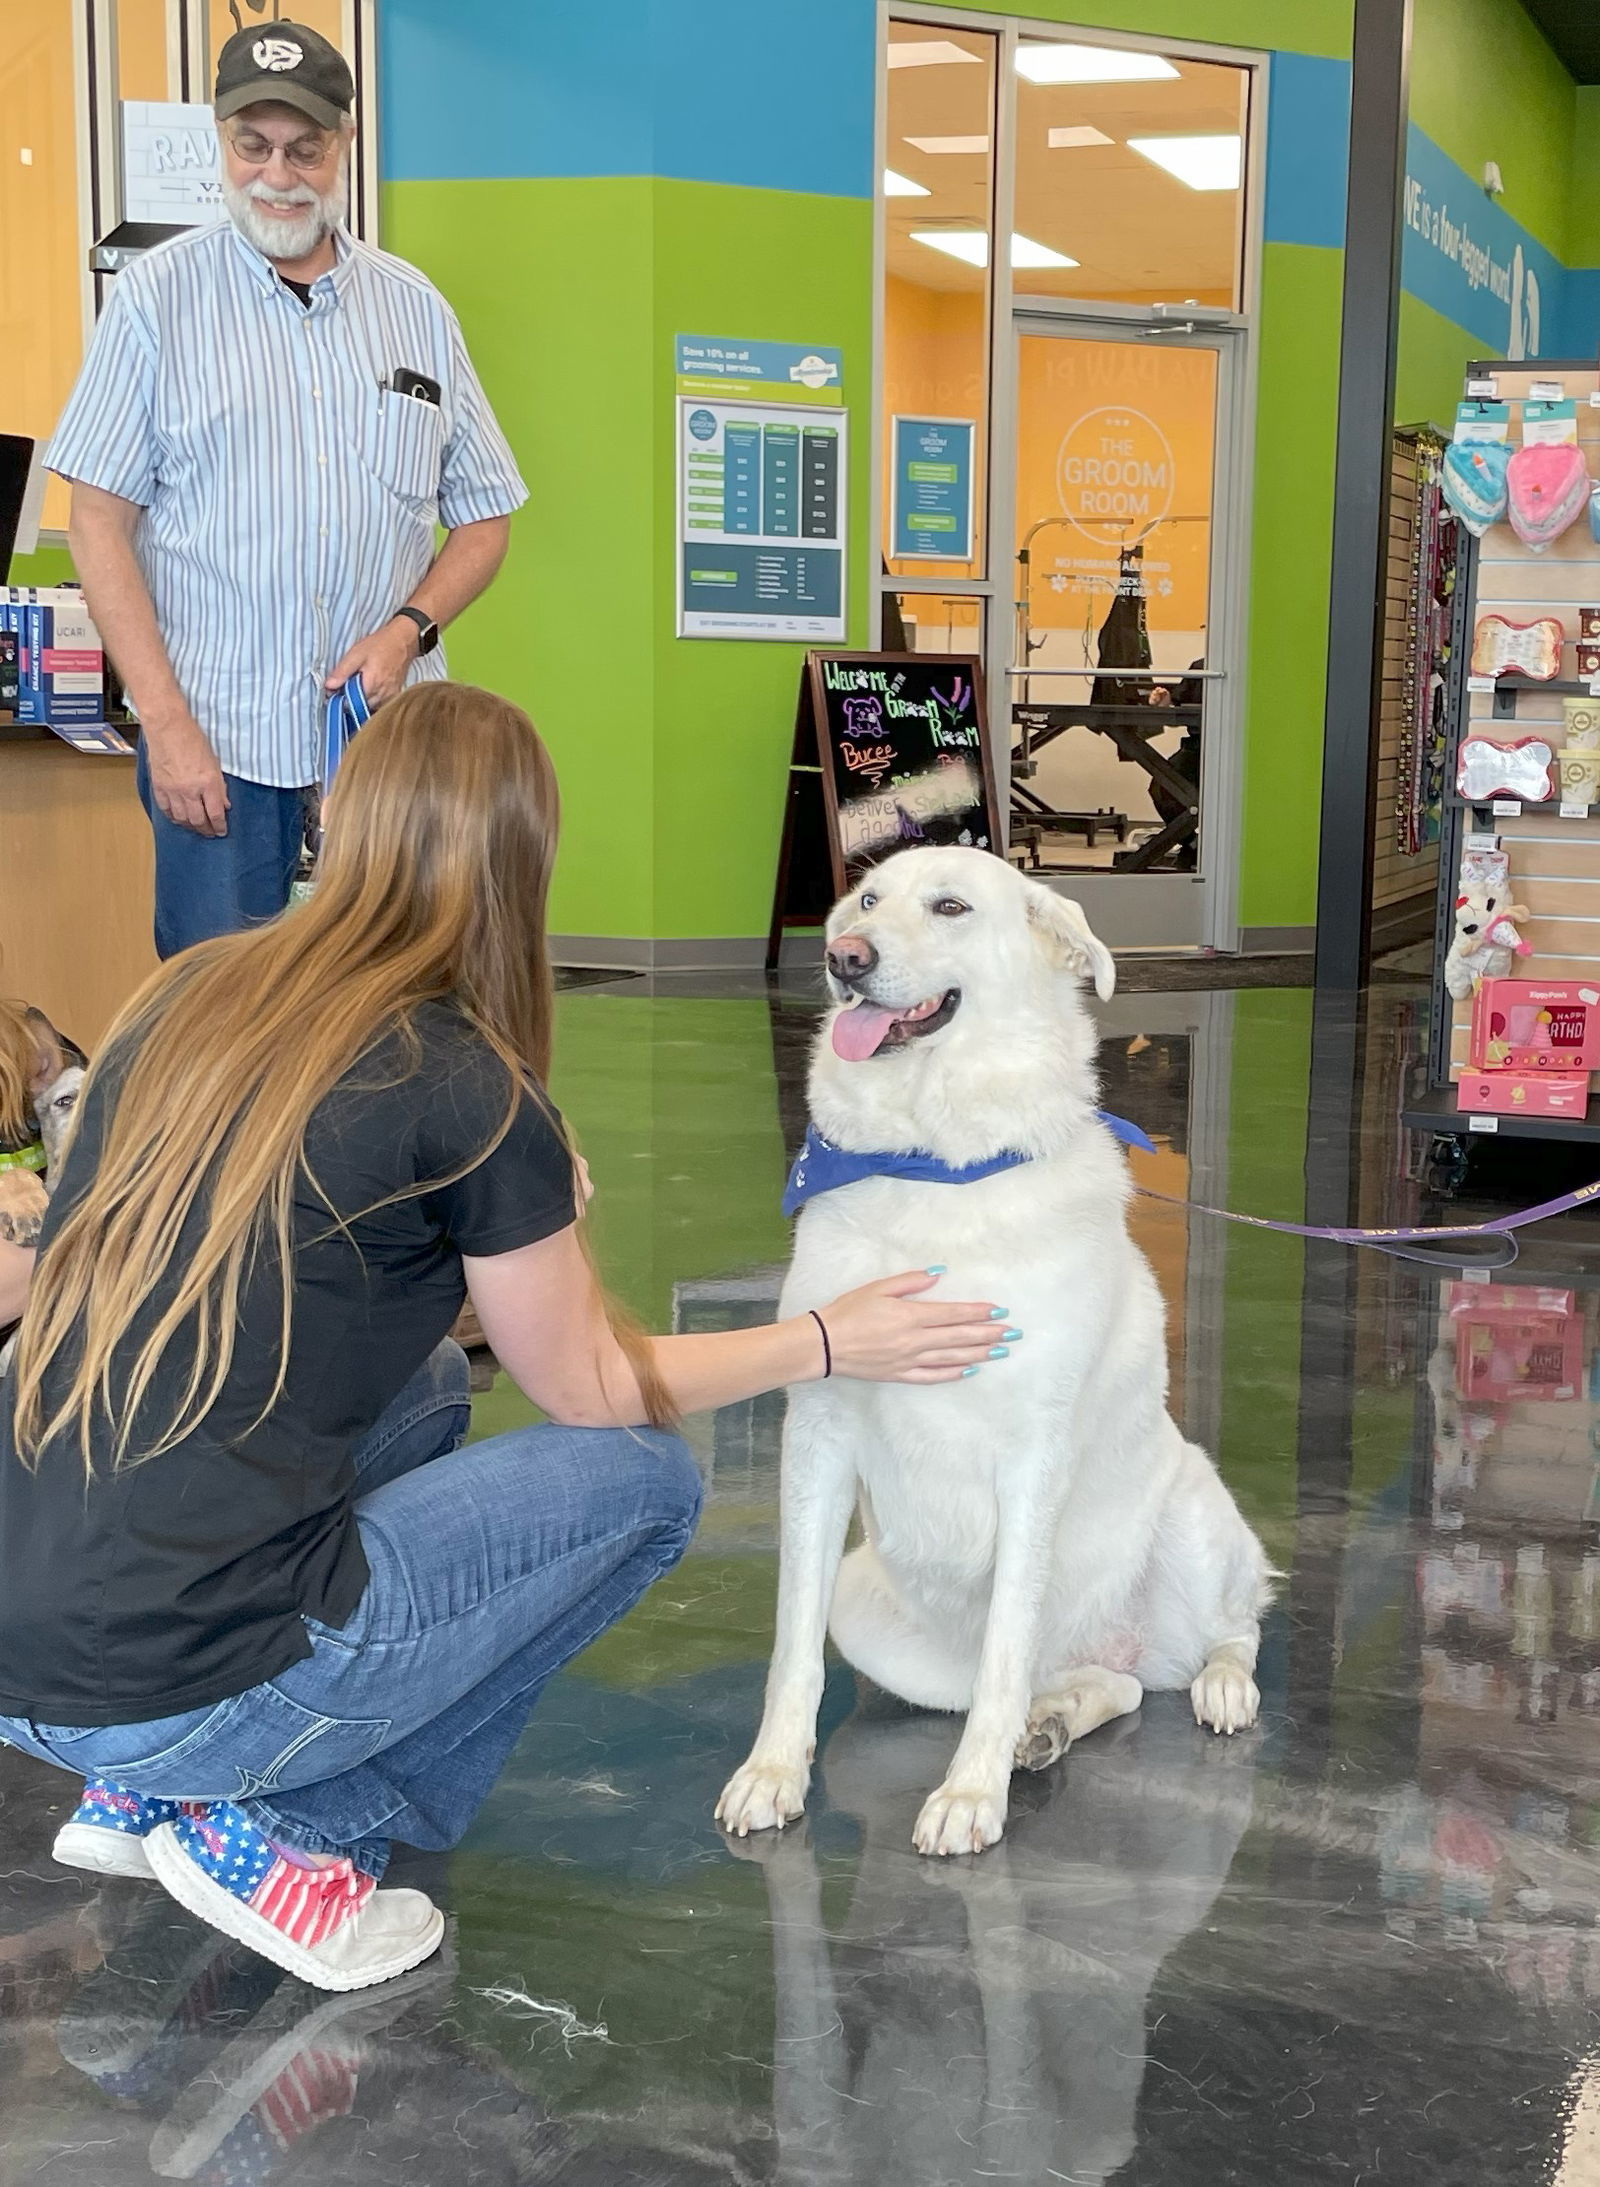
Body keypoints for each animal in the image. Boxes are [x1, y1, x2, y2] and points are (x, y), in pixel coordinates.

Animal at [716, 852, 1267, 1863]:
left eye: (951, 906)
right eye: (865, 900)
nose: (846, 957)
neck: (935, 1161)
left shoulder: (1032, 1459)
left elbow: (1008, 1645)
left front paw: (970, 1794)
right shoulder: (817, 1437)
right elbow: (791, 1644)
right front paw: (773, 1772)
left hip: (1192, 1510)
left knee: (1231, 1627)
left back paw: (1215, 1685)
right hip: (873, 1610)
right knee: (1105, 1686)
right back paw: (1049, 1725)